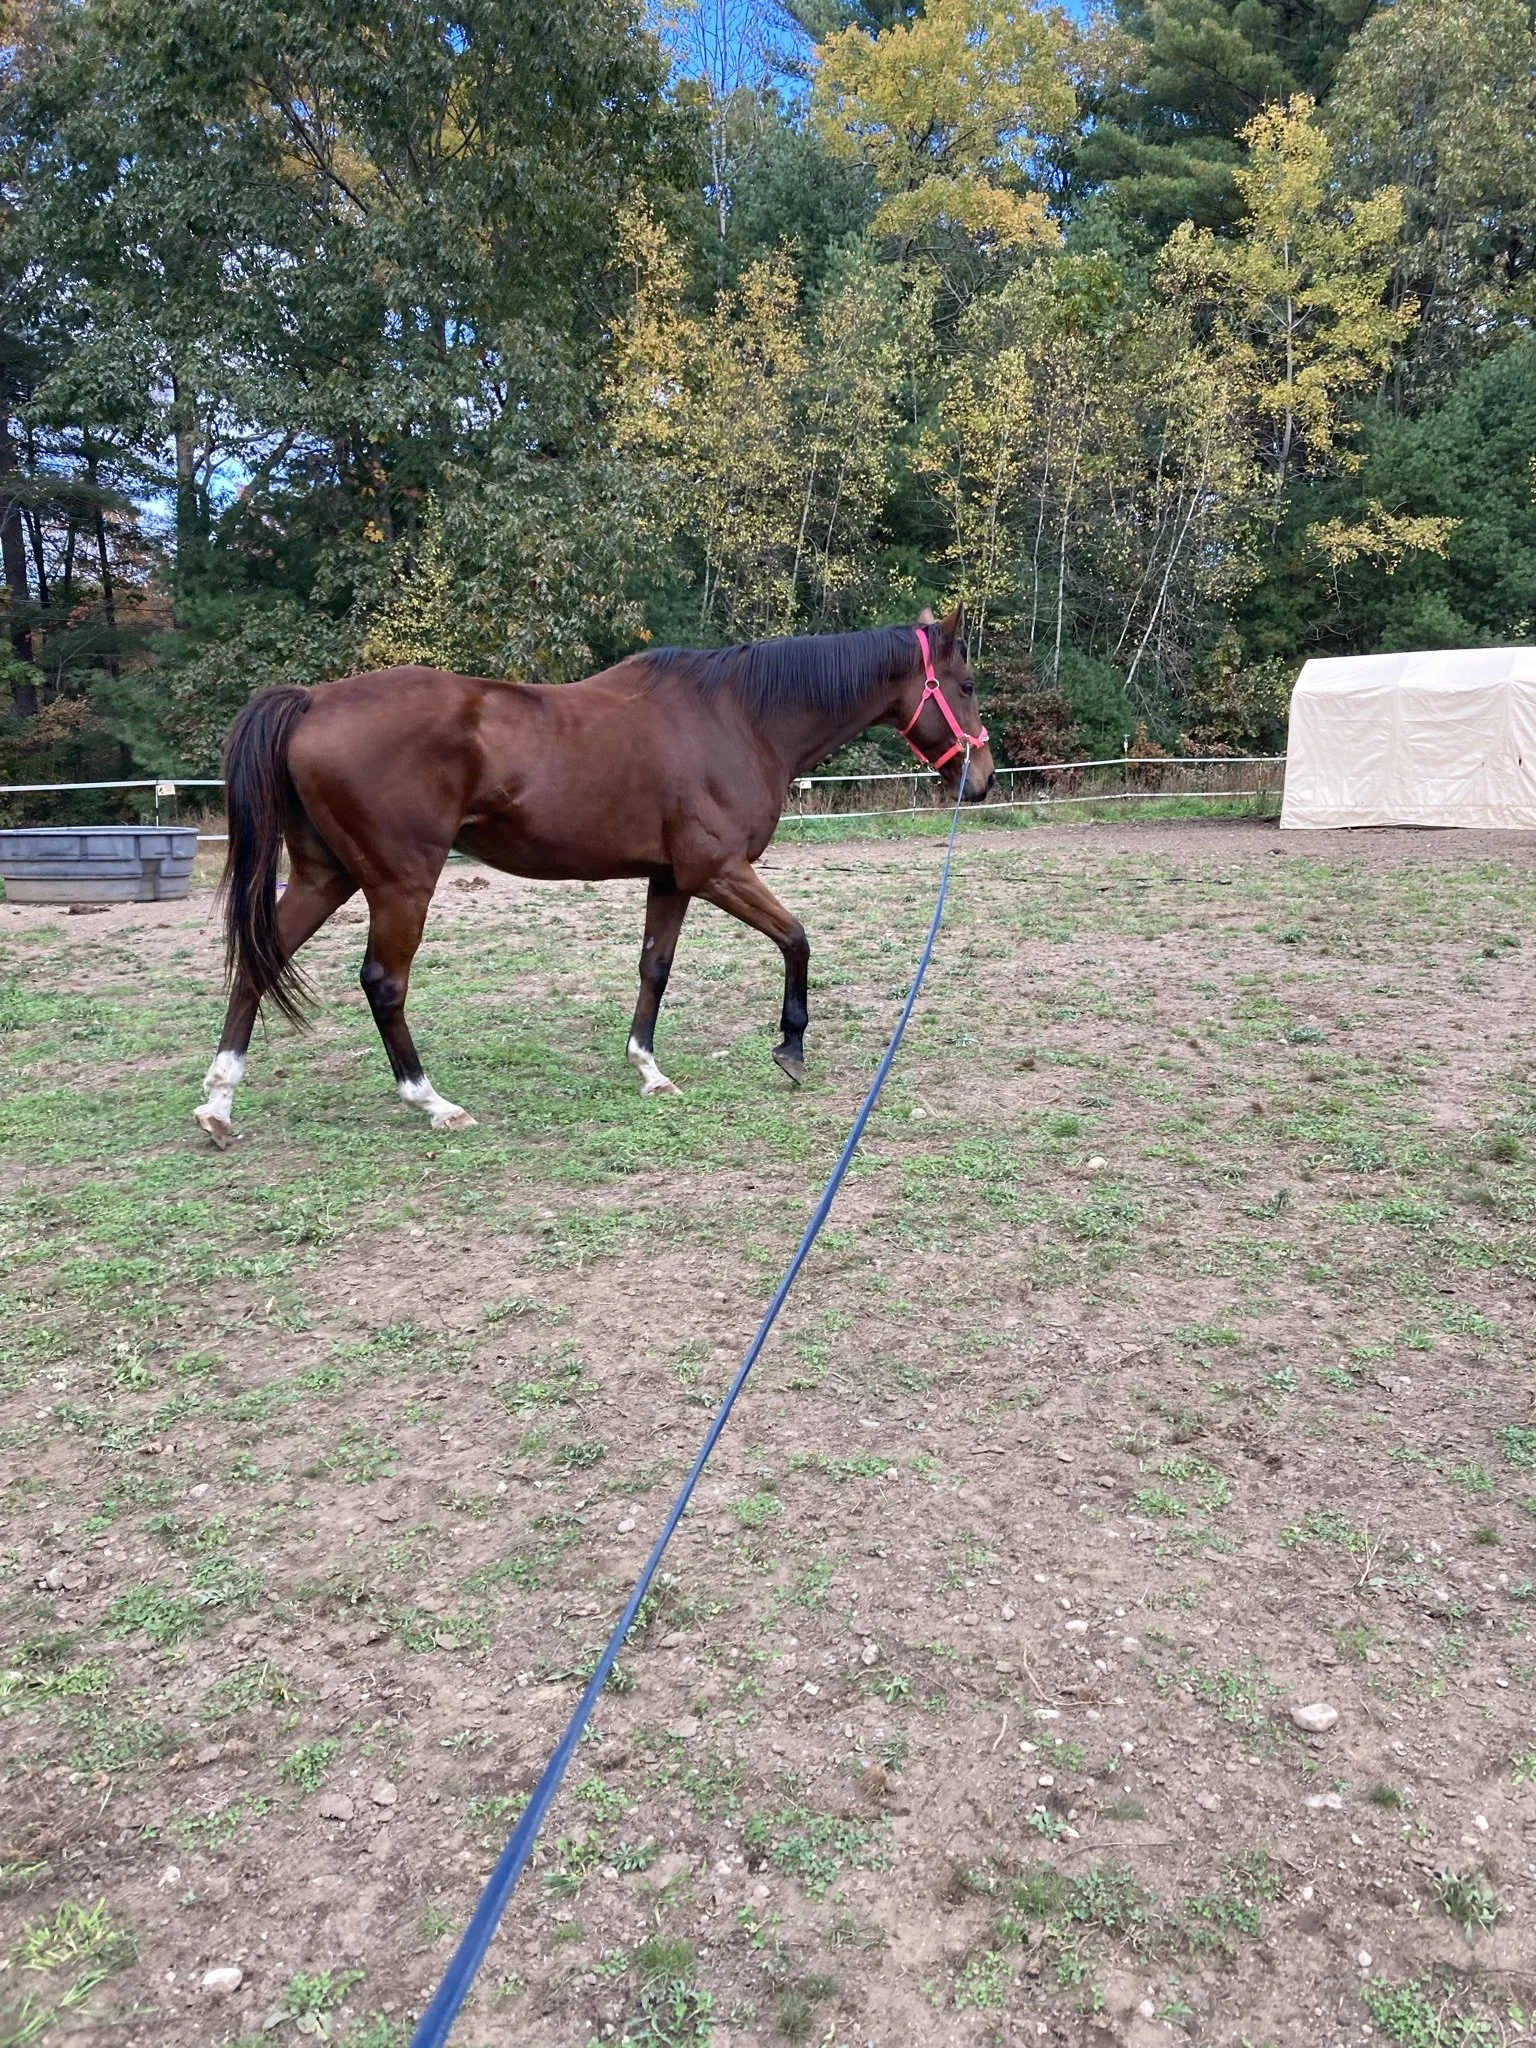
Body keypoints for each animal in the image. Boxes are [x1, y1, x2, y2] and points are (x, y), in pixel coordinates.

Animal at [192, 606, 993, 1146]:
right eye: (966, 683)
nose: (981, 777)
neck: (740, 718)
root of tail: (313, 701)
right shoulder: (718, 871)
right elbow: (796, 939)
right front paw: (791, 1048)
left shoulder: (672, 879)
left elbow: (654, 967)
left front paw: (649, 1068)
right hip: (399, 884)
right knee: (383, 985)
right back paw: (432, 1101)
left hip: (326, 877)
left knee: (260, 963)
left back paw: (219, 1103)